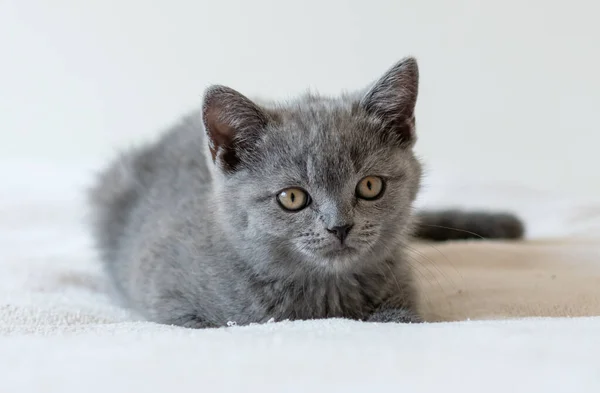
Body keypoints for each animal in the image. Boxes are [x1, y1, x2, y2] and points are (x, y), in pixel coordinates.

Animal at [86, 57, 524, 328]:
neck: (324, 298)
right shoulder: (173, 305)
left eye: (370, 186)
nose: (340, 226)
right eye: (292, 198)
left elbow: (401, 318)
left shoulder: (403, 292)